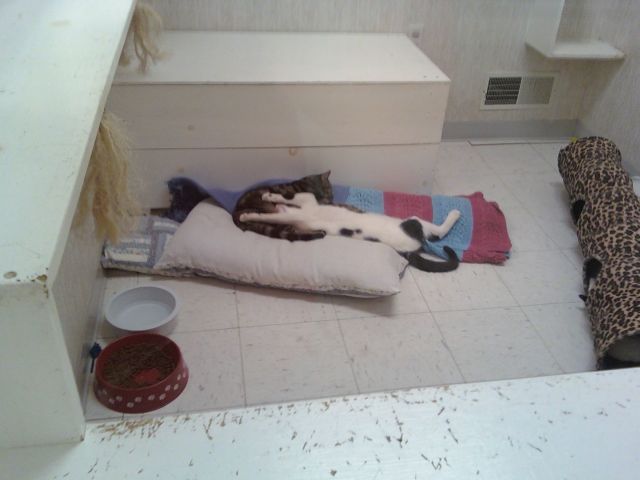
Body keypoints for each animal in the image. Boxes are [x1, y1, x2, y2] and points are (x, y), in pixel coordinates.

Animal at [239, 192, 461, 272]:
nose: (277, 206)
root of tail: (416, 246)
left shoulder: (303, 206)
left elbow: (270, 214)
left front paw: (248, 216)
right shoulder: (305, 202)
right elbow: (288, 197)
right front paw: (269, 196)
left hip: (413, 222)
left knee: (439, 232)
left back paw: (455, 213)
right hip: (416, 223)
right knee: (437, 234)